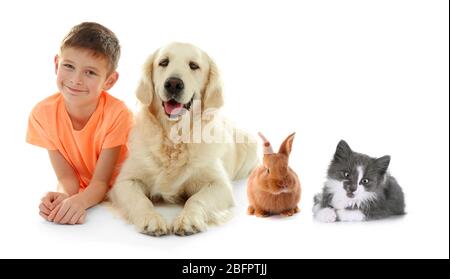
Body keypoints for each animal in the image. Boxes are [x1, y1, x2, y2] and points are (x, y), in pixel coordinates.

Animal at [107, 42, 258, 237]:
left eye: (194, 65)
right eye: (163, 62)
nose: (173, 83)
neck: (174, 136)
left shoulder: (220, 185)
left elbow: (197, 199)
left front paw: (189, 219)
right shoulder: (124, 182)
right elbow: (140, 200)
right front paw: (151, 219)